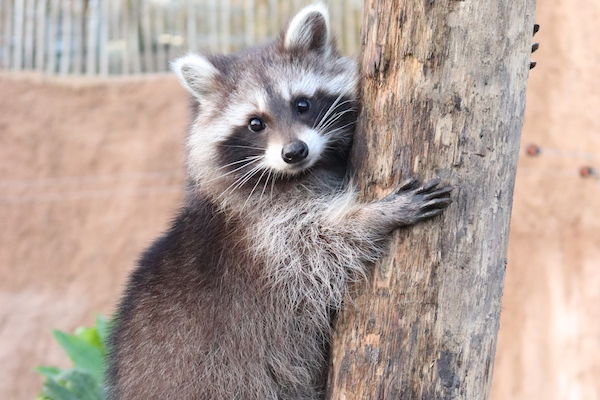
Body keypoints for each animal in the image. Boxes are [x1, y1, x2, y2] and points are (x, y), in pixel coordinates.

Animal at [108, 3, 450, 400]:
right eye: (255, 123)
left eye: (302, 104)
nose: (294, 151)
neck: (302, 173)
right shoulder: (263, 231)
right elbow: (318, 246)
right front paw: (375, 215)